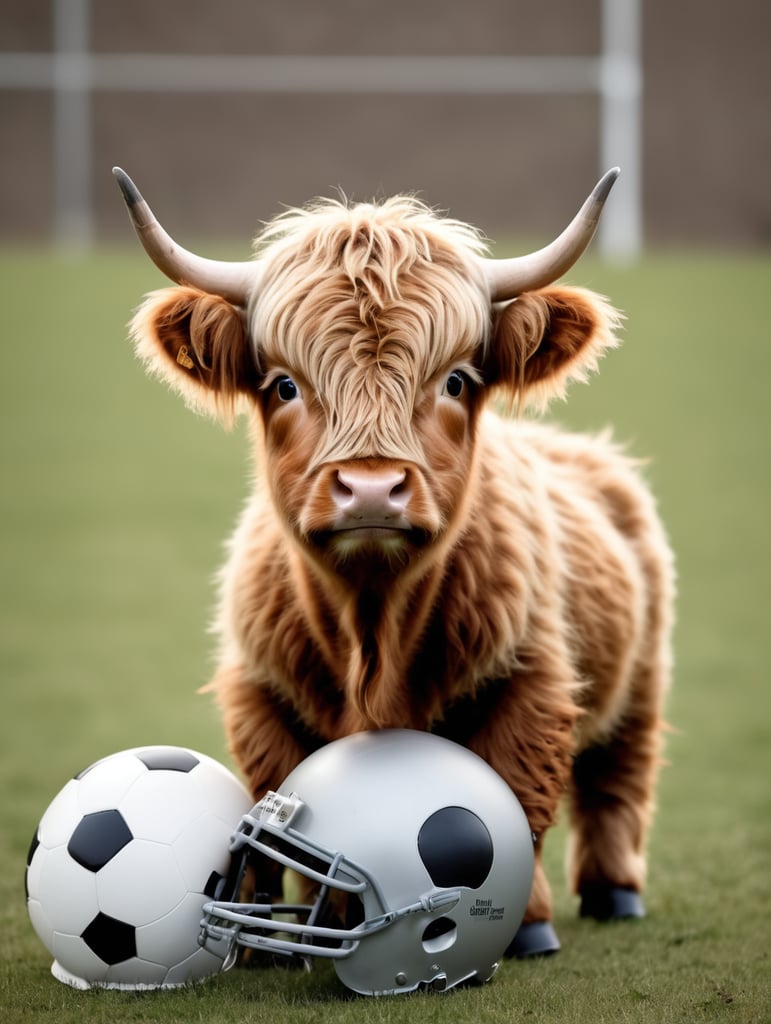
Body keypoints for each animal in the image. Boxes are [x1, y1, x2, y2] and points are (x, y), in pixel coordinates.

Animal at [115, 163, 671, 954]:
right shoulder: (259, 690)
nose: (372, 489)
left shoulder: (530, 680)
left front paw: (526, 927)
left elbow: (513, 796)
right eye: (283, 384)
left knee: (617, 777)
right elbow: (276, 801)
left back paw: (614, 890)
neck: (372, 629)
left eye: (457, 380)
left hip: (642, 678)